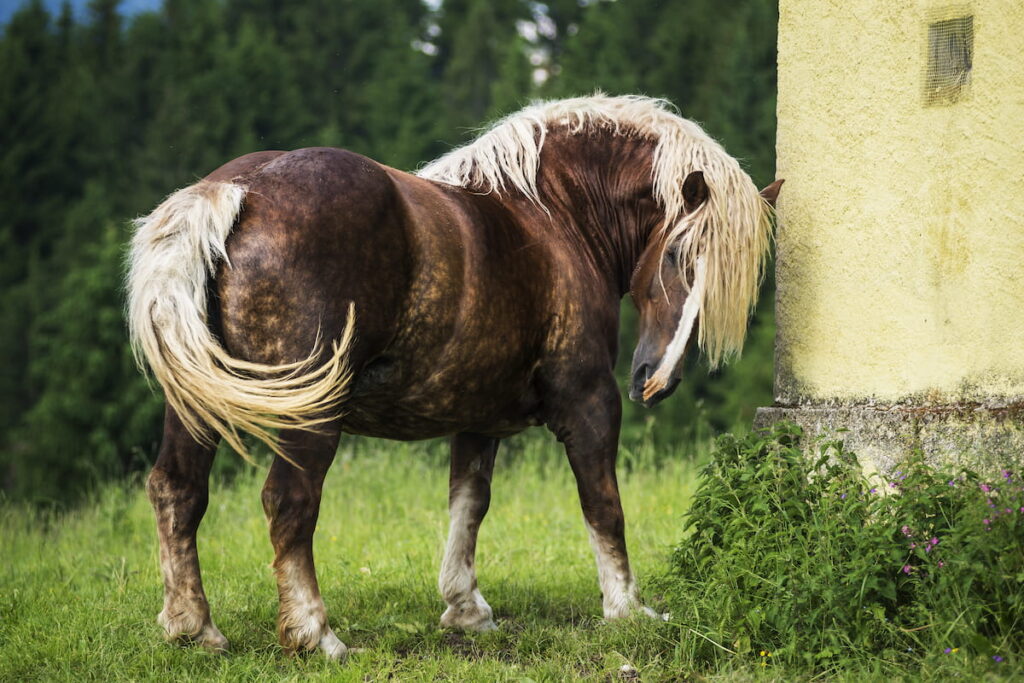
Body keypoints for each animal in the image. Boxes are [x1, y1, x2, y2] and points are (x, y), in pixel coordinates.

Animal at [128, 93, 782, 659]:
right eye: (677, 255)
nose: (655, 381)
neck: (552, 215)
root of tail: (240, 190)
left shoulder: (478, 415)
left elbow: (468, 504)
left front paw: (466, 608)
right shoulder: (588, 402)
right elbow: (603, 504)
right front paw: (627, 608)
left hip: (195, 407)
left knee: (178, 491)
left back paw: (193, 627)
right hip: (310, 416)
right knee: (288, 503)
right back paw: (318, 636)